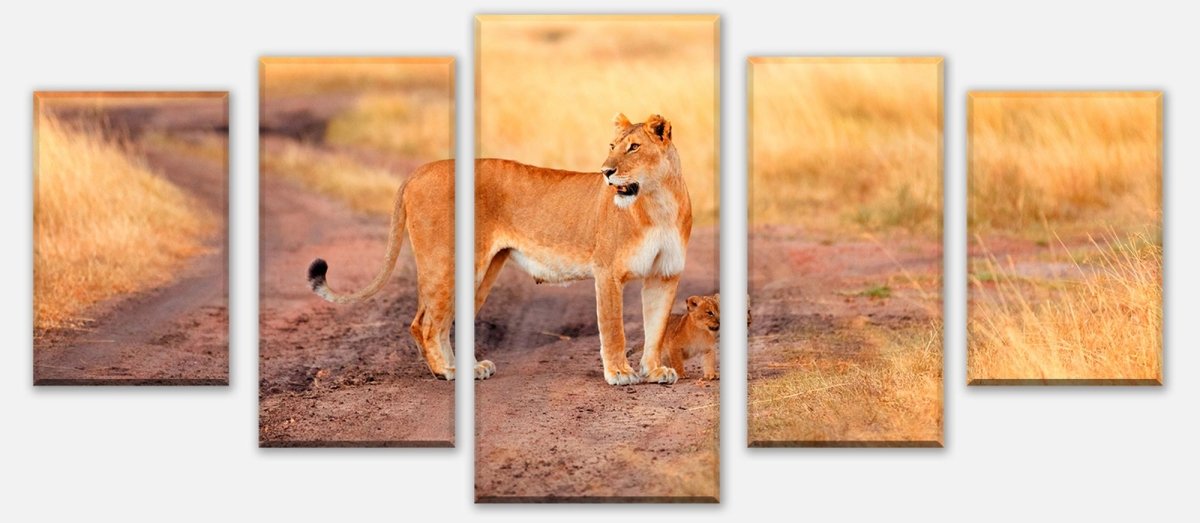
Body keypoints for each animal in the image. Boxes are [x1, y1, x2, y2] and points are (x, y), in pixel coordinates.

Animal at [307, 113, 692, 386]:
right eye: (612, 145)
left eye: (634, 147)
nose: (606, 171)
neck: (658, 202)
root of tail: (419, 171)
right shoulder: (607, 271)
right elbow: (614, 328)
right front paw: (620, 373)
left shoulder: (664, 274)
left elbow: (656, 327)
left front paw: (655, 371)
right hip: (447, 262)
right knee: (425, 323)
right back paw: (447, 372)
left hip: (482, 271)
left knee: (441, 322)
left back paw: (464, 368)